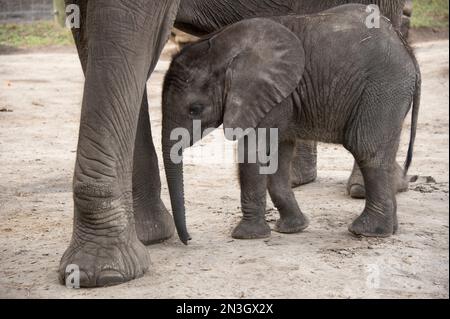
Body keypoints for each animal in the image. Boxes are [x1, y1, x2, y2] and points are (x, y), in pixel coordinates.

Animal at [163, 5, 422, 245]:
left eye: (195, 109)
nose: (189, 239)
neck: (221, 46)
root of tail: (407, 49)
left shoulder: (271, 96)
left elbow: (252, 152)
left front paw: (246, 236)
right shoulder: (279, 98)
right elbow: (279, 155)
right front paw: (292, 229)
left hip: (383, 89)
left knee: (367, 148)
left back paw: (366, 231)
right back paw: (389, 229)